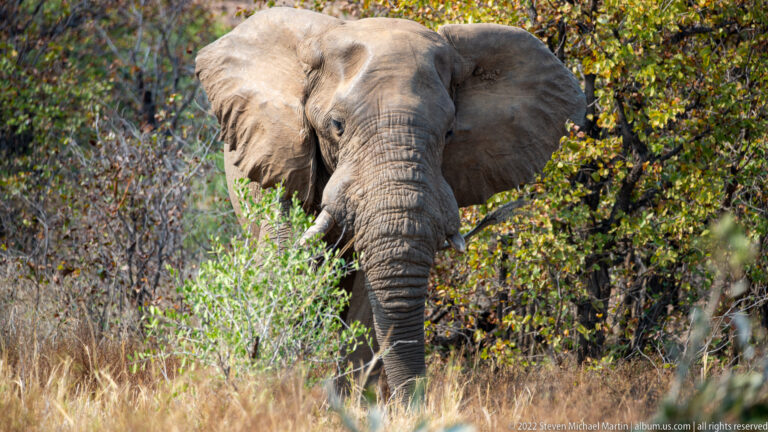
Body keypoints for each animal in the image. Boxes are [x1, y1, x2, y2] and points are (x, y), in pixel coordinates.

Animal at [195, 7, 585, 398]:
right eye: (337, 125)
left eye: (449, 132)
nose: (417, 403)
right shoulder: (282, 153)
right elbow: (283, 266)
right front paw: (275, 388)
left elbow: (367, 302)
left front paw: (350, 402)